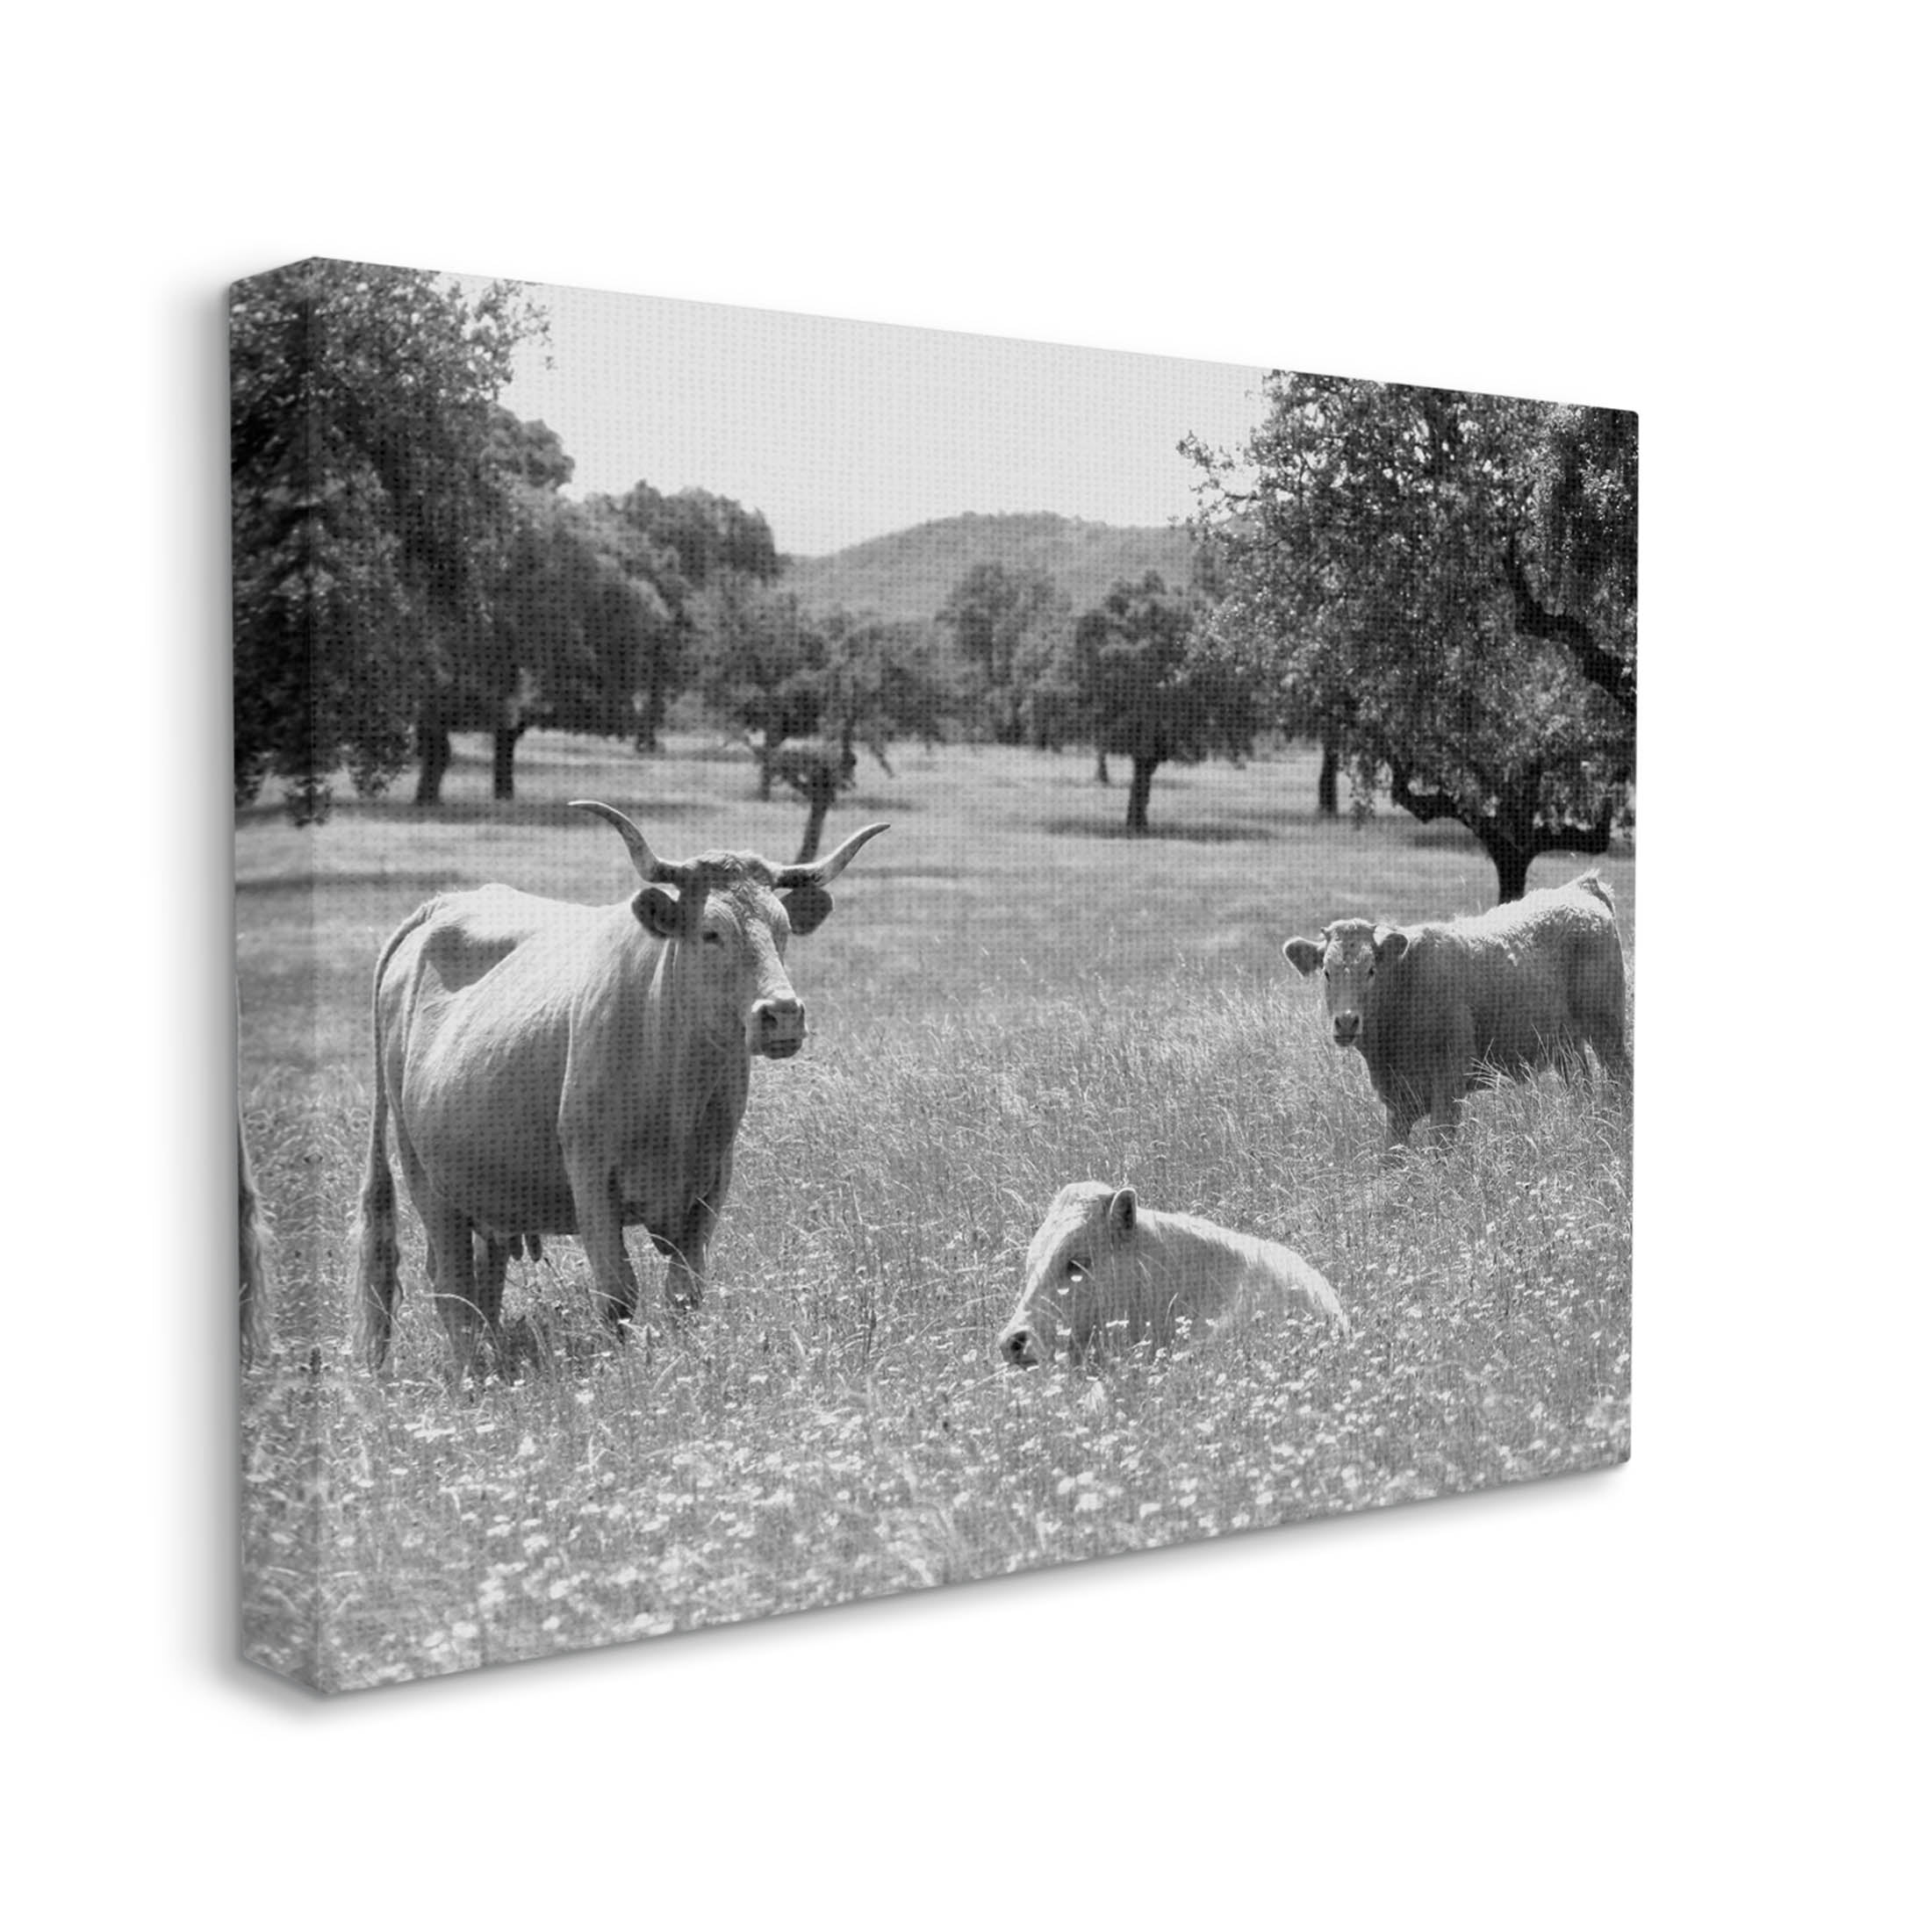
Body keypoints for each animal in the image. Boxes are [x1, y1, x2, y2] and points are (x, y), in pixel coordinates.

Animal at [354, 801, 888, 1376]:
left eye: (783, 929)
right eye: (711, 932)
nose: (783, 1014)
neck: (675, 1089)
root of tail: (444, 903)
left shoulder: (710, 1183)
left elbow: (685, 1293)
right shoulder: (591, 1178)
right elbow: (618, 1293)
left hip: (485, 1185)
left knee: (482, 1279)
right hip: (422, 1173)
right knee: (450, 1282)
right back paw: (472, 1377)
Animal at [1282, 870, 1630, 1148]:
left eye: (1371, 970)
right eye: (1327, 972)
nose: (1346, 1022)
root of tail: (1581, 888)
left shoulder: (1449, 1084)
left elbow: (1441, 1146)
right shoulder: (1398, 1101)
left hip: (1607, 1031)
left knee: (1620, 1079)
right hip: (1566, 1045)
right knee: (1581, 1087)